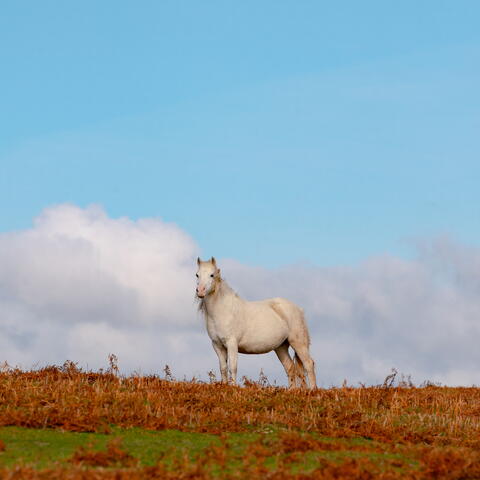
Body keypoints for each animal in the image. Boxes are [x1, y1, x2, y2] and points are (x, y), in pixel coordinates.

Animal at [195, 256, 316, 388]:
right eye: (197, 275)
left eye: (212, 275)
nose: (200, 291)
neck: (223, 310)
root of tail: (298, 309)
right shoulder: (217, 345)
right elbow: (223, 368)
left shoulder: (231, 343)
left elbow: (232, 367)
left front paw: (232, 387)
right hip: (281, 347)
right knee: (290, 368)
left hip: (298, 343)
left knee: (309, 364)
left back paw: (312, 390)